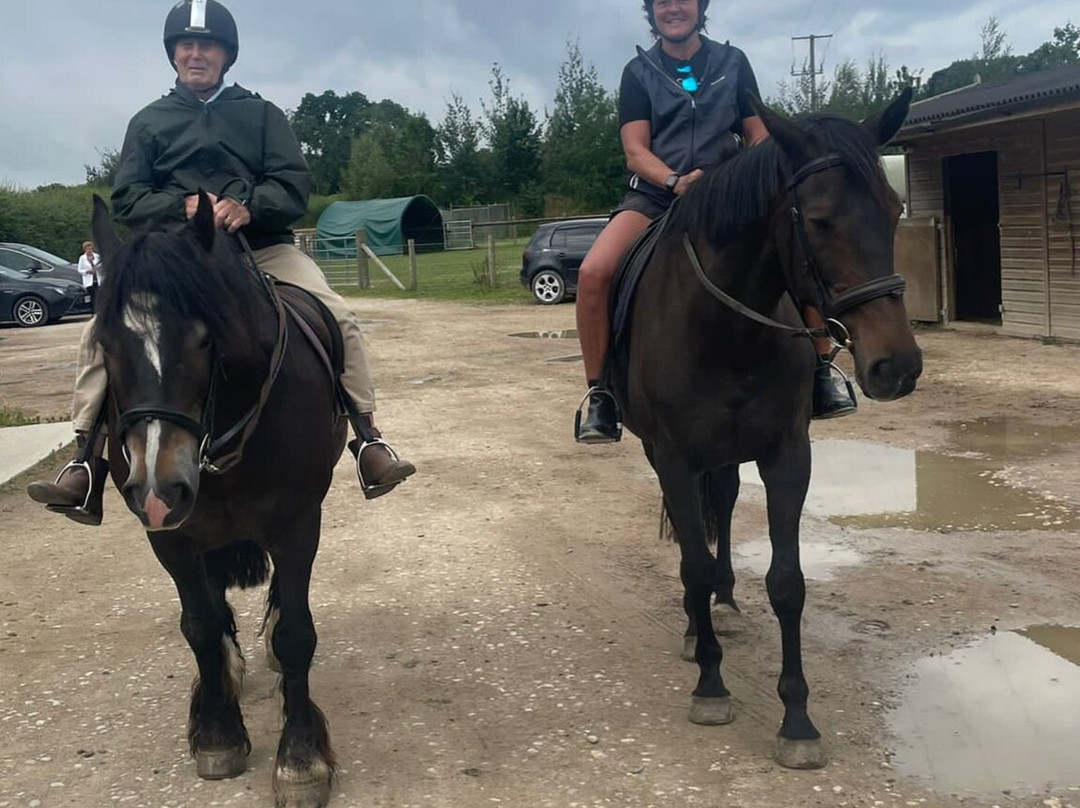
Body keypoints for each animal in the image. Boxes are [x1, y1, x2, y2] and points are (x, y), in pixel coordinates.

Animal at [92, 194, 347, 808]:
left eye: (205, 339)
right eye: (105, 345)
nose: (157, 488)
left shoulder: (298, 522)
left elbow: (296, 632)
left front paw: (300, 757)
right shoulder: (172, 537)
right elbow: (200, 626)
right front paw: (217, 731)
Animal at [609, 90, 920, 769]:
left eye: (893, 212)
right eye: (821, 221)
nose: (898, 366)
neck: (726, 329)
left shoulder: (787, 455)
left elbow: (787, 582)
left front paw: (797, 720)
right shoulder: (674, 457)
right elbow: (692, 565)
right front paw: (710, 686)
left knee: (723, 506)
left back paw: (723, 607)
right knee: (696, 539)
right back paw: (697, 626)